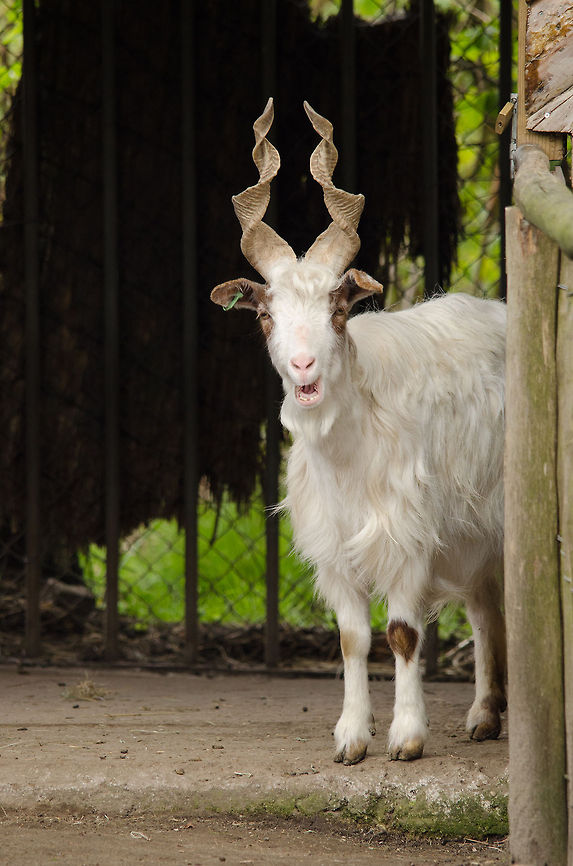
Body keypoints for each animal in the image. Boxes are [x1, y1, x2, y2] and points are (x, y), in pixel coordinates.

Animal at [211, 99, 506, 764]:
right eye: (265, 314)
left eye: (338, 307)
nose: (303, 368)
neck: (350, 453)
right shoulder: (336, 545)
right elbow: (351, 638)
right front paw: (351, 735)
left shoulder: (407, 535)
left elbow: (401, 633)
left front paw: (407, 737)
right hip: (472, 533)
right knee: (482, 607)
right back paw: (484, 715)